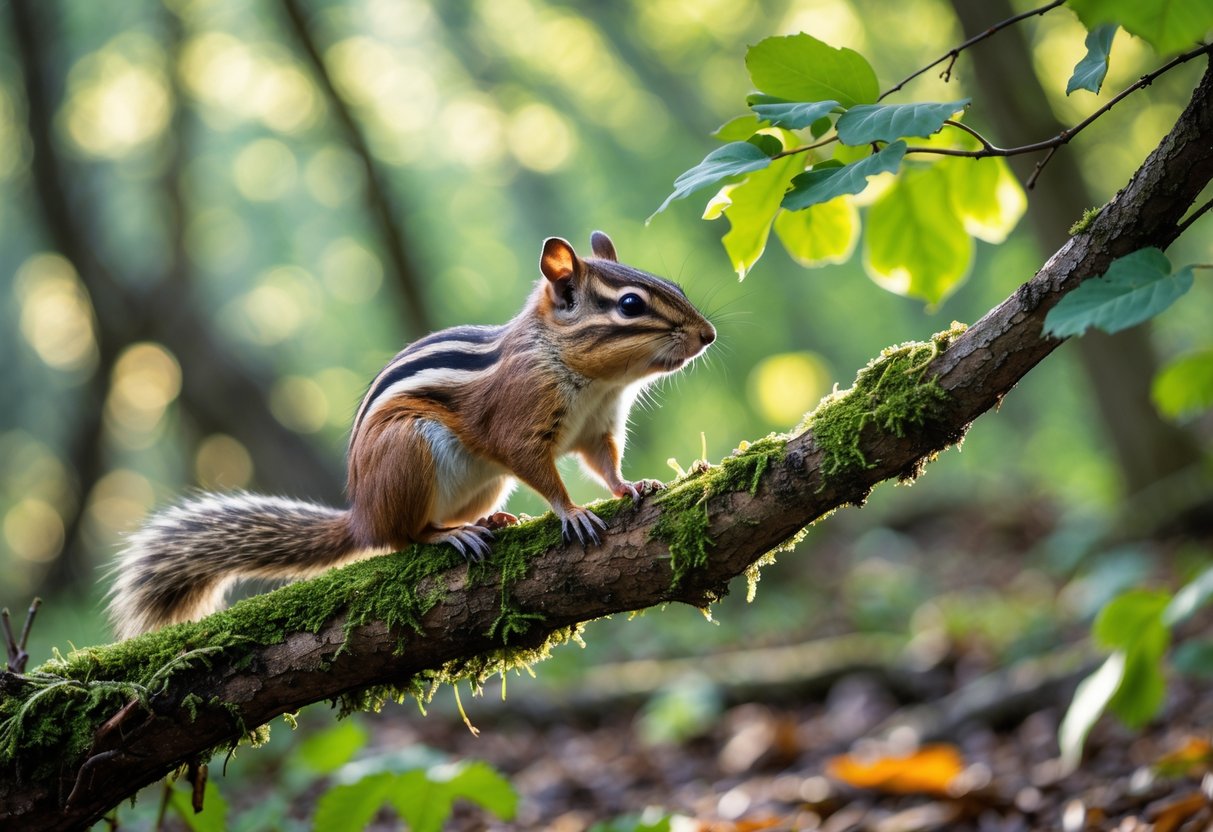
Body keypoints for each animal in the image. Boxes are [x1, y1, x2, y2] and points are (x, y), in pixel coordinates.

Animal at [107, 232, 716, 639]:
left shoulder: (597, 427)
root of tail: (361, 513)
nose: (708, 335)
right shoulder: (518, 419)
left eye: (676, 286)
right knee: (401, 537)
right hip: (410, 451)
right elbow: (536, 466)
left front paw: (631, 487)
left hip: (482, 481)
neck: (594, 381)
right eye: (630, 305)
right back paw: (448, 536)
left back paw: (486, 521)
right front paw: (571, 512)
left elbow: (604, 463)